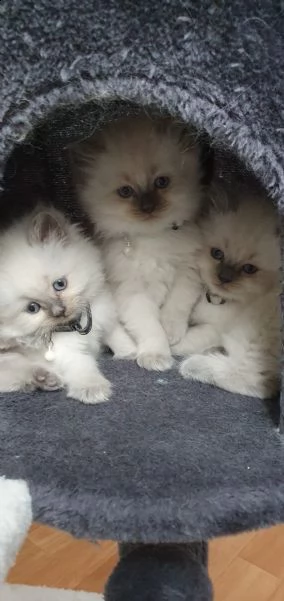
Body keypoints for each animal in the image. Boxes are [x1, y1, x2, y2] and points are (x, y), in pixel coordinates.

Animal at [0, 207, 135, 404]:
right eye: (32, 308)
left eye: (60, 284)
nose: (59, 311)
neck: (76, 324)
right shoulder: (68, 352)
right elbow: (84, 365)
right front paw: (92, 388)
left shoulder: (104, 318)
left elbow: (117, 336)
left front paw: (131, 353)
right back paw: (45, 378)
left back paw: (45, 380)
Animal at [74, 112, 204, 370]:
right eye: (125, 192)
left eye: (162, 182)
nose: (147, 207)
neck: (154, 238)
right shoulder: (132, 293)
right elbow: (150, 328)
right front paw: (157, 357)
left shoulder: (187, 272)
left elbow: (175, 306)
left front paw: (172, 333)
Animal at [173, 188, 280, 398]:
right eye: (217, 254)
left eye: (249, 269)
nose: (224, 278)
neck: (215, 299)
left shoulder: (217, 329)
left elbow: (188, 338)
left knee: (254, 378)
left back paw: (193, 365)